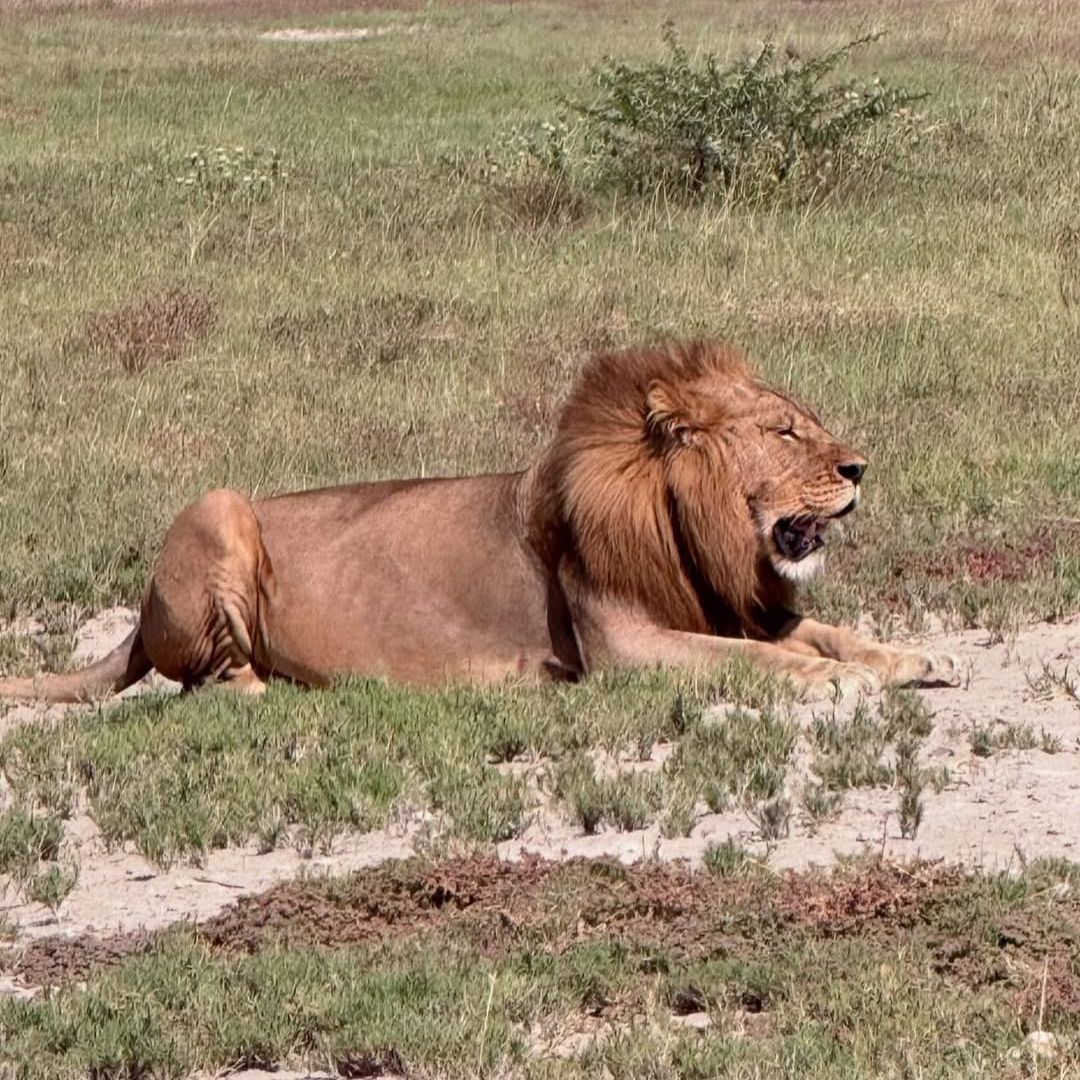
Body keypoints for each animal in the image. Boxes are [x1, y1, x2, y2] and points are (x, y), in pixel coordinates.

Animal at [0, 340, 957, 704]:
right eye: (785, 431)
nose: (860, 468)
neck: (698, 535)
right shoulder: (624, 648)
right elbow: (756, 660)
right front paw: (835, 680)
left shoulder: (740, 605)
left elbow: (828, 631)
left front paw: (914, 657)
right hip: (217, 504)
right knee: (205, 677)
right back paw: (263, 684)